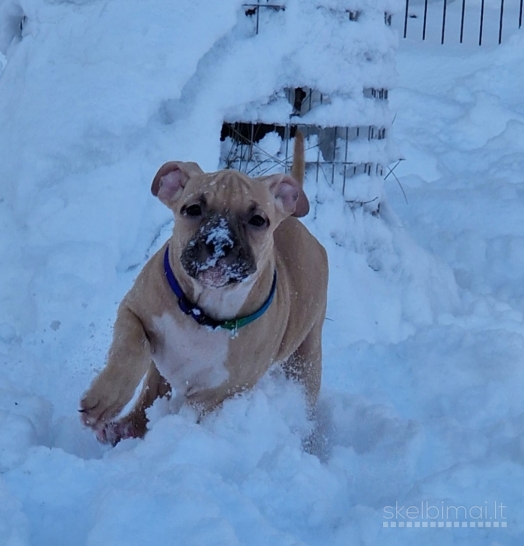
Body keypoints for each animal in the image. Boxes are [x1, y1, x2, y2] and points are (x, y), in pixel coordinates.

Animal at [79, 134, 326, 444]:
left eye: (258, 220)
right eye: (192, 209)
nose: (219, 242)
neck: (204, 312)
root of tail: (293, 219)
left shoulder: (227, 388)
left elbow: (192, 408)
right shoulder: (135, 310)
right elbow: (130, 351)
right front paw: (105, 400)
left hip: (307, 359)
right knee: (149, 394)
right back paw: (123, 427)